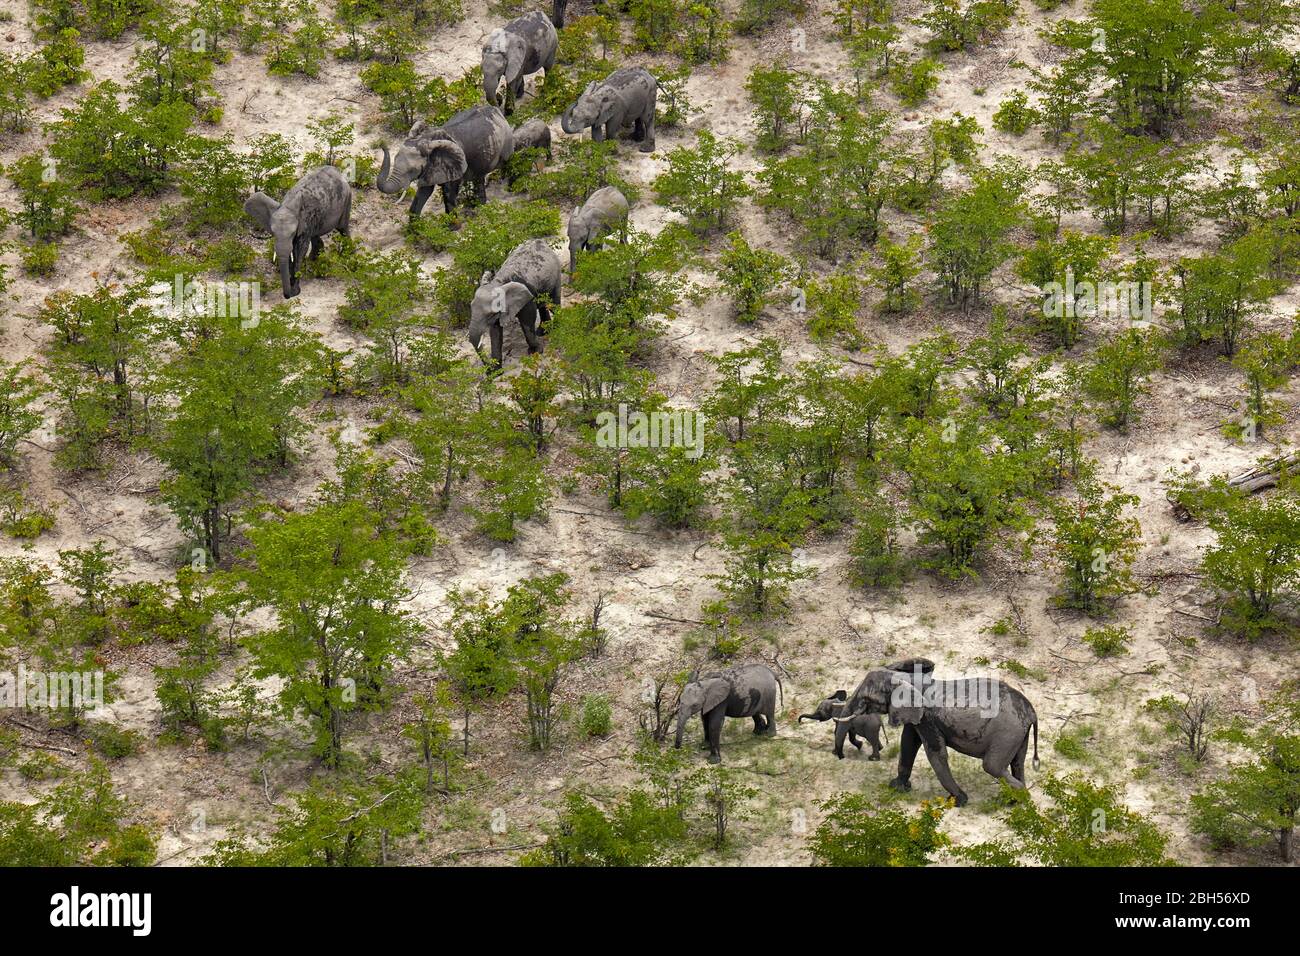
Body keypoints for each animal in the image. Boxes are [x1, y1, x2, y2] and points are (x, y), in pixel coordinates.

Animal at [244, 164, 353, 299]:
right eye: (273, 233)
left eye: (292, 233)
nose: (287, 296)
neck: (288, 205)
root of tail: (337, 171)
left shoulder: (306, 220)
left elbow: (300, 249)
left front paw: (295, 291)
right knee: (316, 236)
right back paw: (313, 263)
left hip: (347, 199)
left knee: (342, 229)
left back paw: (349, 256)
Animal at [377, 105, 512, 215]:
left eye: (412, 170)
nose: (382, 144)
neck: (425, 138)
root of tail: (497, 110)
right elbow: (424, 192)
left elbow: (449, 192)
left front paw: (452, 228)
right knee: (479, 177)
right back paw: (479, 206)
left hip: (507, 141)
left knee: (507, 162)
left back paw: (506, 189)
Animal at [473, 239, 564, 369]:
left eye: (489, 314)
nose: (488, 370)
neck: (497, 283)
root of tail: (540, 241)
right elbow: (495, 332)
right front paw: (496, 370)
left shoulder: (526, 298)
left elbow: (527, 320)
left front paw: (535, 352)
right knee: (543, 305)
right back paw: (542, 332)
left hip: (556, 274)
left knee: (554, 302)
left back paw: (557, 327)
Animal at [837, 658, 1040, 806]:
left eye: (866, 699)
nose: (841, 757)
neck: (906, 679)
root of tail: (1031, 711)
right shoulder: (917, 716)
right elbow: (908, 744)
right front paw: (897, 787)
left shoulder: (928, 717)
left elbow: (935, 753)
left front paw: (958, 801)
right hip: (1019, 733)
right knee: (1017, 763)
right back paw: (1014, 802)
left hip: (1007, 732)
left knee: (992, 766)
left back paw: (1018, 798)